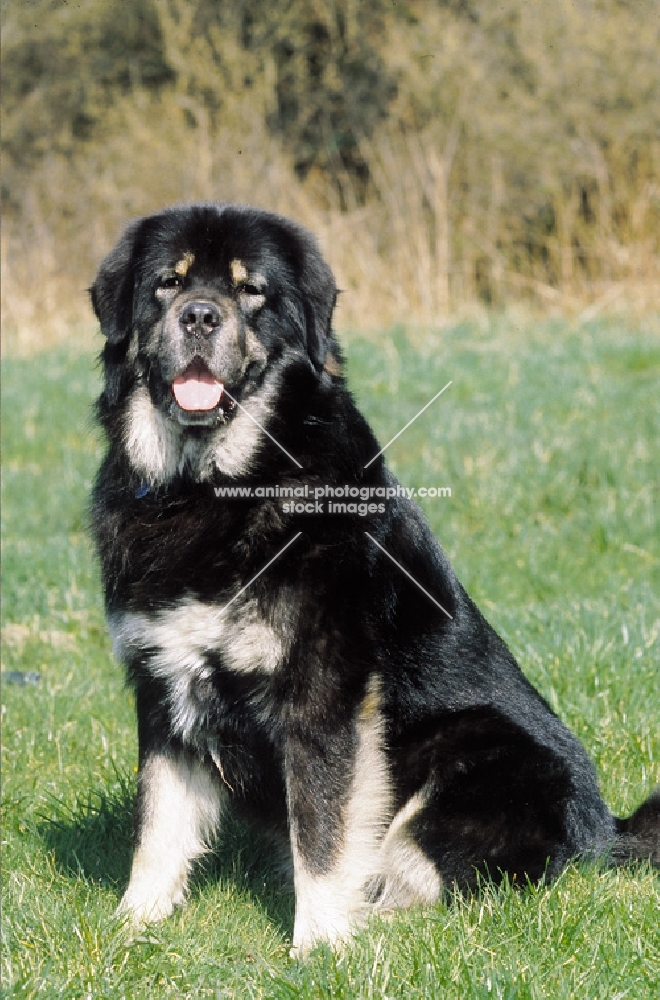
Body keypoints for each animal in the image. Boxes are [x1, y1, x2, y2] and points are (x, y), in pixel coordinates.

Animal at [90, 201, 656, 952]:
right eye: (168, 283)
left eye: (251, 291)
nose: (200, 317)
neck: (213, 490)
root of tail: (605, 835)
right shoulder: (163, 684)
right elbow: (158, 824)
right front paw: (132, 927)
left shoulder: (325, 692)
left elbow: (324, 833)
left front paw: (319, 947)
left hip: (481, 756)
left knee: (419, 876)